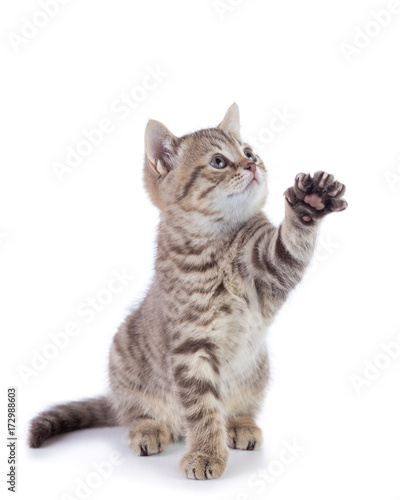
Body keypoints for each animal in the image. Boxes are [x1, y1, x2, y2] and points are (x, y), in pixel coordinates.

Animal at [28, 104, 346, 480]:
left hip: (259, 368)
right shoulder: (190, 346)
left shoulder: (270, 269)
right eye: (218, 161)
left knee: (242, 406)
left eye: (249, 152)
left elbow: (289, 245)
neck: (218, 244)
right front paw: (206, 453)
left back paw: (240, 422)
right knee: (131, 413)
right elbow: (203, 409)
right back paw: (148, 428)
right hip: (122, 358)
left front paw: (309, 203)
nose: (252, 165)